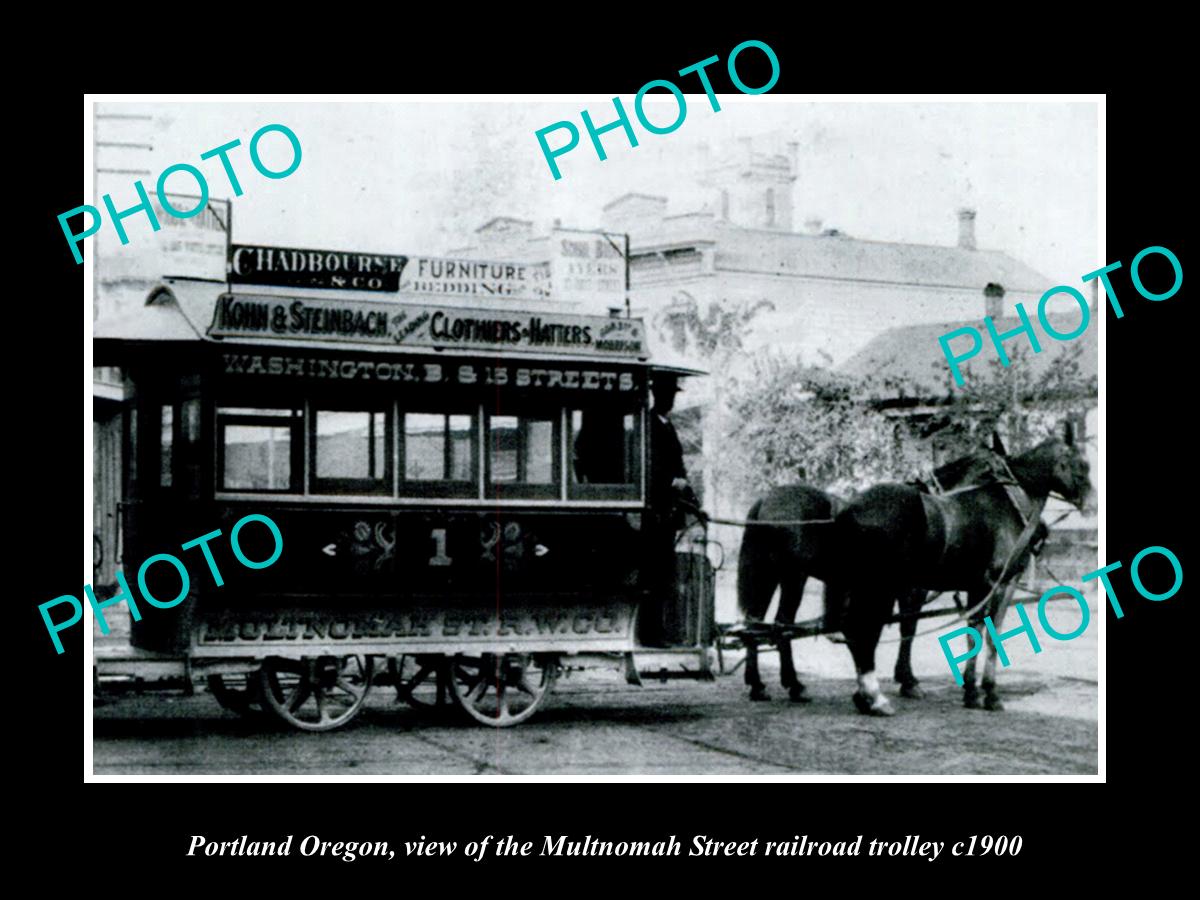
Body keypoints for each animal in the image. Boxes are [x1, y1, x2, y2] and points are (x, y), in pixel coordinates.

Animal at [734, 444, 1008, 705]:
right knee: (778, 623)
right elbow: (908, 627)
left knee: (756, 623)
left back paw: (761, 685)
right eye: (1000, 468)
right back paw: (791, 684)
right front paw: (908, 681)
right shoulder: (912, 590)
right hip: (791, 577)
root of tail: (765, 500)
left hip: (770, 575)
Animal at [835, 422, 1089, 720]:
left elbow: (969, 629)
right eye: (1079, 464)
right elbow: (987, 632)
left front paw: (966, 689)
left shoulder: (971, 586)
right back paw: (871, 697)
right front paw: (988, 692)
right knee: (863, 629)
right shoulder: (997, 583)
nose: (1090, 503)